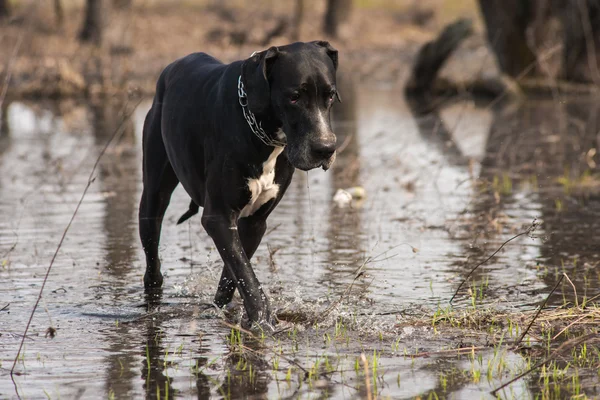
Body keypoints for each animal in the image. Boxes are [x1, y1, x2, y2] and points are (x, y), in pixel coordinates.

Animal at [138, 40, 340, 324]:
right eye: (294, 97)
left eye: (330, 95)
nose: (326, 148)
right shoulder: (219, 217)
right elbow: (246, 274)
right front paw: (263, 320)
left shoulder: (254, 223)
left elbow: (234, 273)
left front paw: (227, 311)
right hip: (153, 197)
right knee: (152, 262)